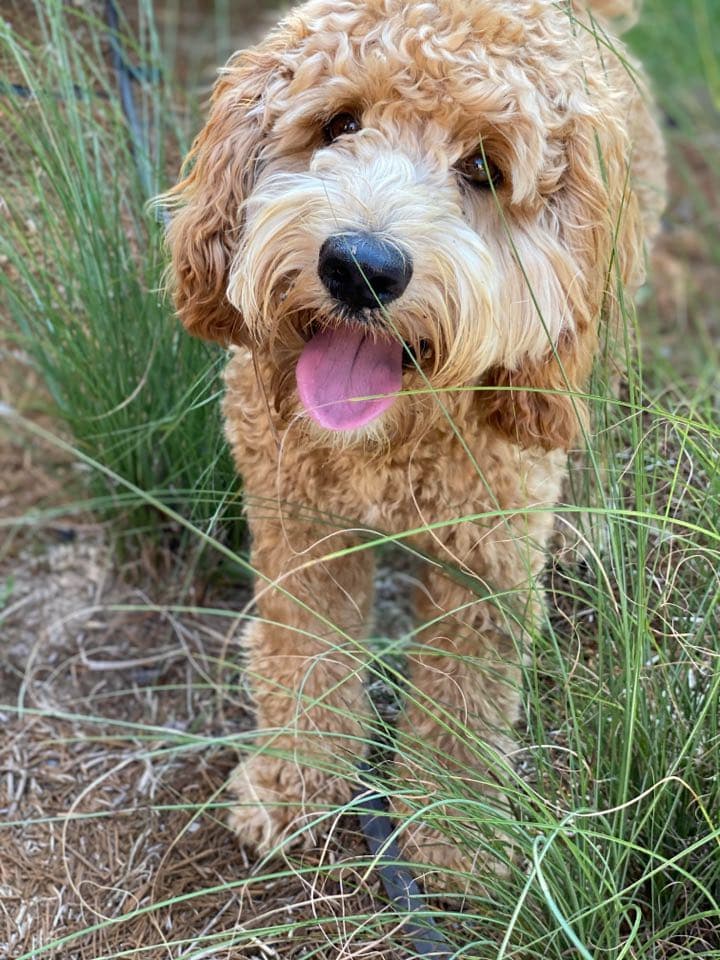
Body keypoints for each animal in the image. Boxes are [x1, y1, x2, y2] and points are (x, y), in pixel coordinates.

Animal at [166, 0, 668, 884]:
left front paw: (457, 833)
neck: (386, 439)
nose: (360, 265)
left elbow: (462, 701)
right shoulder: (300, 527)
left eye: (484, 168)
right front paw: (294, 784)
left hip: (605, 330)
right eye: (339, 123)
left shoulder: (490, 560)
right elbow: (305, 654)